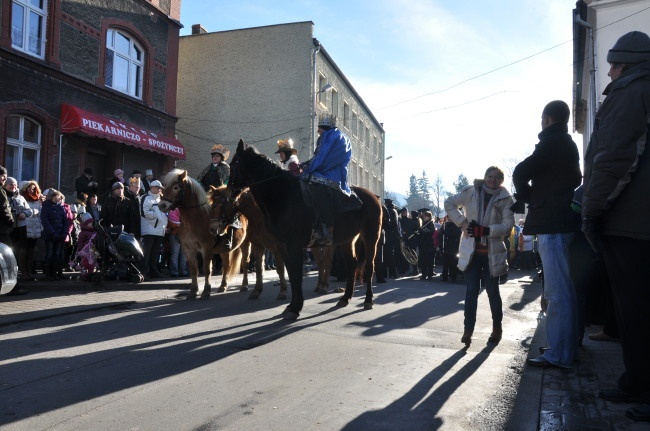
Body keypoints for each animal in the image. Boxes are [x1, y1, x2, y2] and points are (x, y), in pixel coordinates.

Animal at [158, 170, 244, 300]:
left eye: (176, 187)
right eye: (164, 186)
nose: (161, 205)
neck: (195, 219)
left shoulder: (206, 249)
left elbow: (207, 269)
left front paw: (206, 291)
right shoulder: (188, 250)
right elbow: (194, 270)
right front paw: (193, 291)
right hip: (224, 250)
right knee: (226, 265)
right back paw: (223, 286)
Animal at [228, 141, 382, 320]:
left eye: (233, 164)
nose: (230, 195)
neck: (282, 195)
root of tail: (373, 196)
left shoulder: (293, 245)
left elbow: (296, 274)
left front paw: (295, 308)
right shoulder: (281, 246)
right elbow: (291, 273)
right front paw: (291, 306)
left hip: (371, 237)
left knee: (369, 266)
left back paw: (368, 300)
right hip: (347, 240)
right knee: (352, 265)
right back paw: (345, 298)